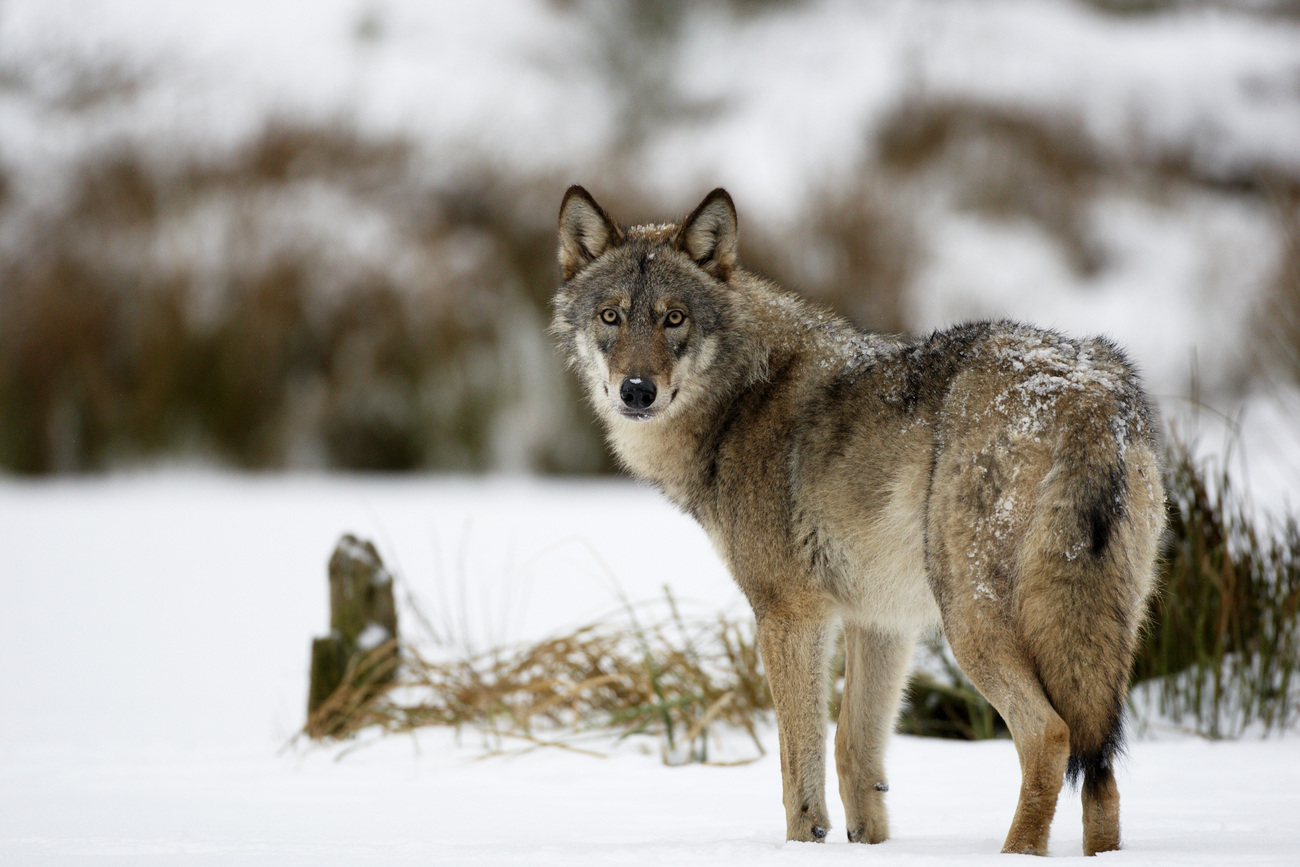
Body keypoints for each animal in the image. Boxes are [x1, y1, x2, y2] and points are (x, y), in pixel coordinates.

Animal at [548, 187, 1170, 857]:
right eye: (611, 316)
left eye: (674, 318)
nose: (636, 391)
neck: (740, 400)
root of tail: (1087, 391)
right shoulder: (882, 622)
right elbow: (855, 756)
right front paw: (871, 847)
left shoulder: (788, 614)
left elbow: (800, 763)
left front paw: (805, 845)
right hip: (1100, 634)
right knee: (1101, 774)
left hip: (970, 623)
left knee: (1049, 736)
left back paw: (1015, 854)